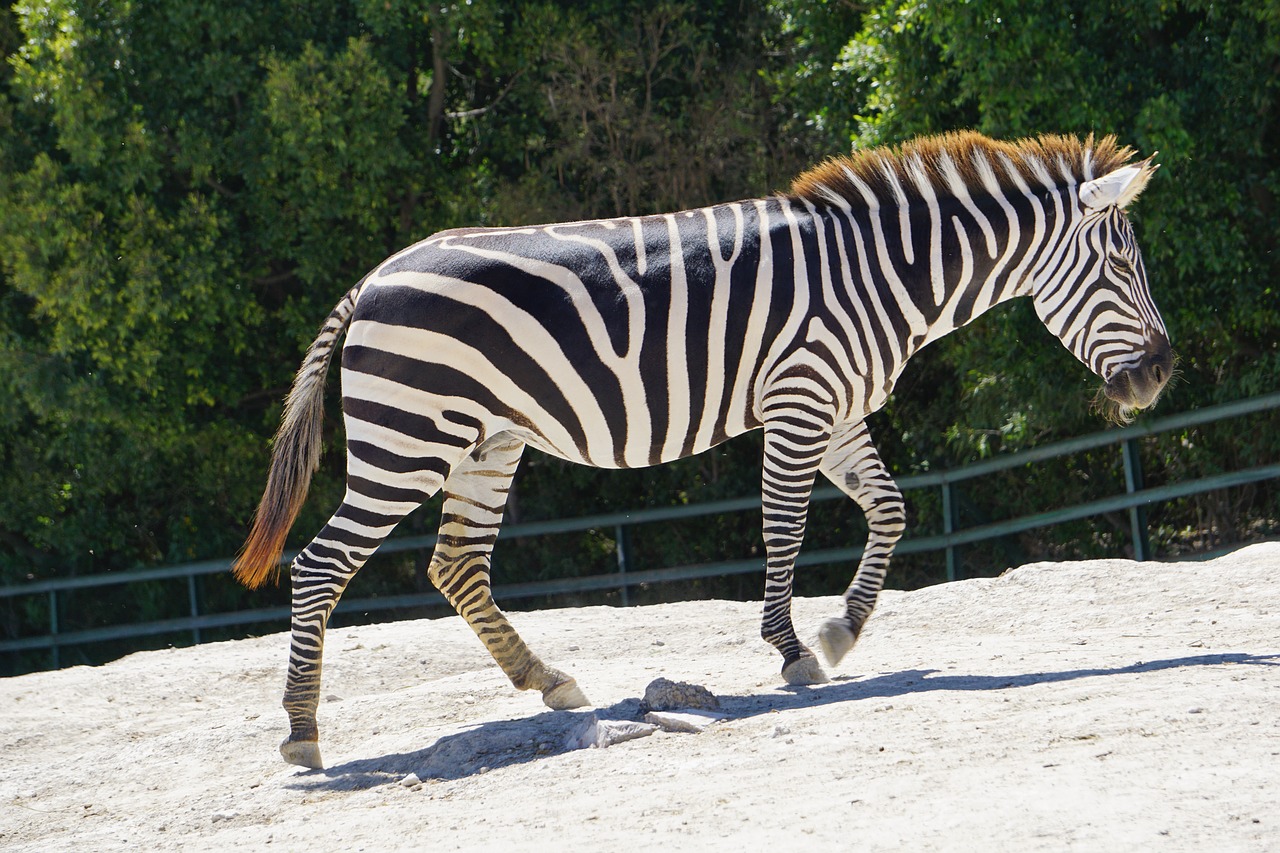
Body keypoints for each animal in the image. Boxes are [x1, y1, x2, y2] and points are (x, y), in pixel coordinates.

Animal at [232, 131, 1172, 763]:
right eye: (1123, 267)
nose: (1161, 374)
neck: (883, 276)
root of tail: (374, 276)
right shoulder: (799, 398)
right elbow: (785, 528)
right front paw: (794, 652)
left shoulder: (838, 410)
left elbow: (891, 510)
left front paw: (842, 631)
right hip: (410, 440)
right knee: (320, 564)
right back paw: (304, 733)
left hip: (485, 444)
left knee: (457, 566)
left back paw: (551, 682)